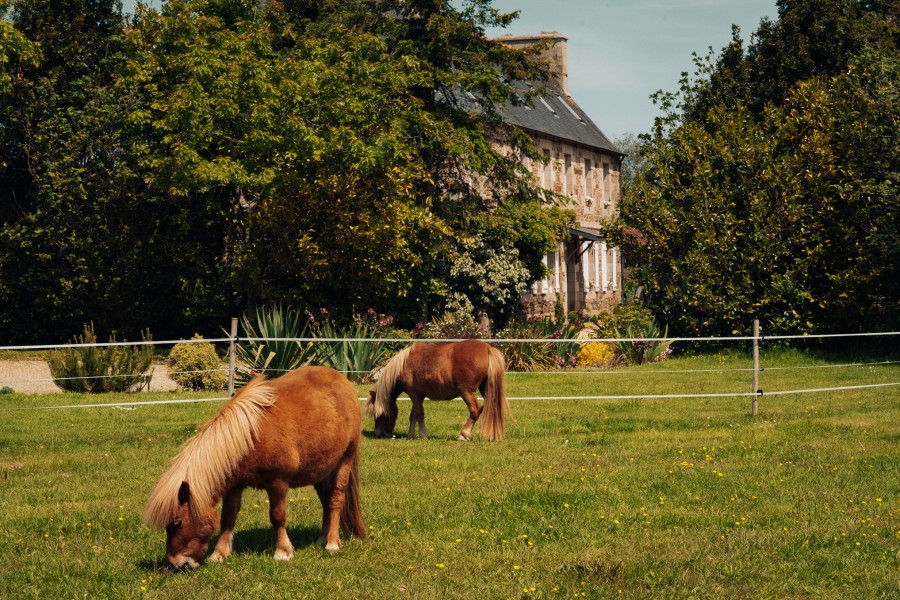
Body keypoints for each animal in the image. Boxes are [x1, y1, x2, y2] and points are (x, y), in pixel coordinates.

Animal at [143, 366, 366, 568]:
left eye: (177, 523)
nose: (175, 563)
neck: (248, 438)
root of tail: (344, 382)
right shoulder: (234, 486)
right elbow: (227, 518)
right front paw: (219, 554)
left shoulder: (278, 483)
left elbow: (277, 516)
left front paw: (282, 551)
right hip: (320, 471)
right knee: (326, 501)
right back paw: (322, 538)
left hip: (344, 461)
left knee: (335, 499)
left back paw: (332, 543)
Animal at [364, 340, 506, 442]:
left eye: (377, 413)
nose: (379, 434)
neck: (404, 365)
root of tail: (488, 348)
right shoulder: (418, 396)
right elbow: (413, 415)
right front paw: (410, 435)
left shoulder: (414, 394)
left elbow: (419, 414)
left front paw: (423, 434)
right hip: (485, 390)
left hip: (466, 391)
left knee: (475, 410)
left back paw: (463, 435)